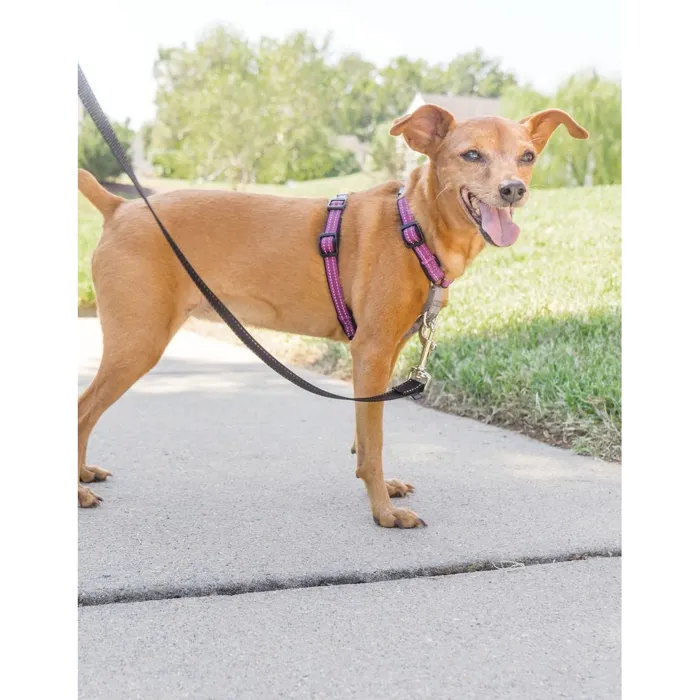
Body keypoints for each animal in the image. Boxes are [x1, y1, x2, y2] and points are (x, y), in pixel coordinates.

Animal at [78, 104, 588, 527]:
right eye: (472, 154)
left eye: (526, 156)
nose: (513, 190)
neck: (414, 226)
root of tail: (120, 207)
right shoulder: (372, 352)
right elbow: (373, 445)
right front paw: (384, 513)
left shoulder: (382, 355)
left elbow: (365, 435)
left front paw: (383, 490)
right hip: (138, 342)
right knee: (83, 409)